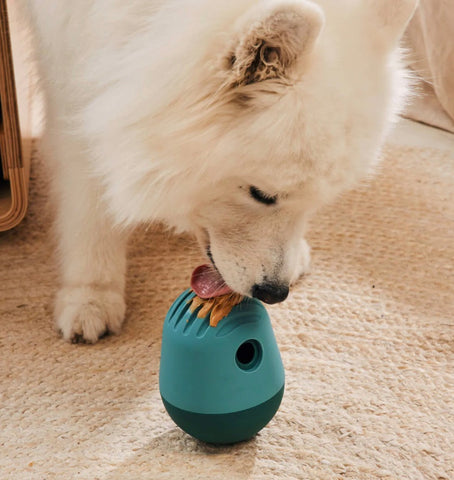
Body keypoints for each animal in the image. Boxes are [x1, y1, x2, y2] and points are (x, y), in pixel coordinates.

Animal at [20, 1, 418, 344]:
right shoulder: (72, 81)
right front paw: (91, 296)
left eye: (319, 202)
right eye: (262, 195)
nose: (275, 293)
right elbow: (91, 208)